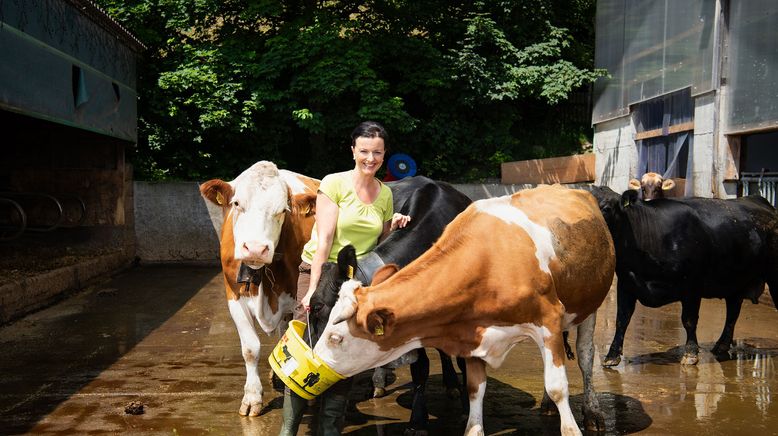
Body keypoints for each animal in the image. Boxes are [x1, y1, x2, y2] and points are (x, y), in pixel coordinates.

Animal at [203, 160, 322, 416]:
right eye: (237, 203)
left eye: (283, 211)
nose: (256, 249)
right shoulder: (234, 296)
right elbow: (250, 348)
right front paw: (252, 396)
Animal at [310, 186, 612, 436]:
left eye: (336, 337)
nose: (314, 366)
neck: (488, 261)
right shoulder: (471, 332)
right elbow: (474, 388)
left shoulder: (548, 320)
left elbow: (558, 385)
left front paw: (572, 428)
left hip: (588, 306)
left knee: (585, 357)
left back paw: (593, 412)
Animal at [584, 186, 776, 366]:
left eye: (606, 208)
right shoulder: (626, 283)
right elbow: (621, 320)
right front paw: (611, 356)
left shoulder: (691, 286)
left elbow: (689, 320)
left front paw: (690, 353)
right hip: (734, 282)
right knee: (733, 313)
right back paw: (721, 346)